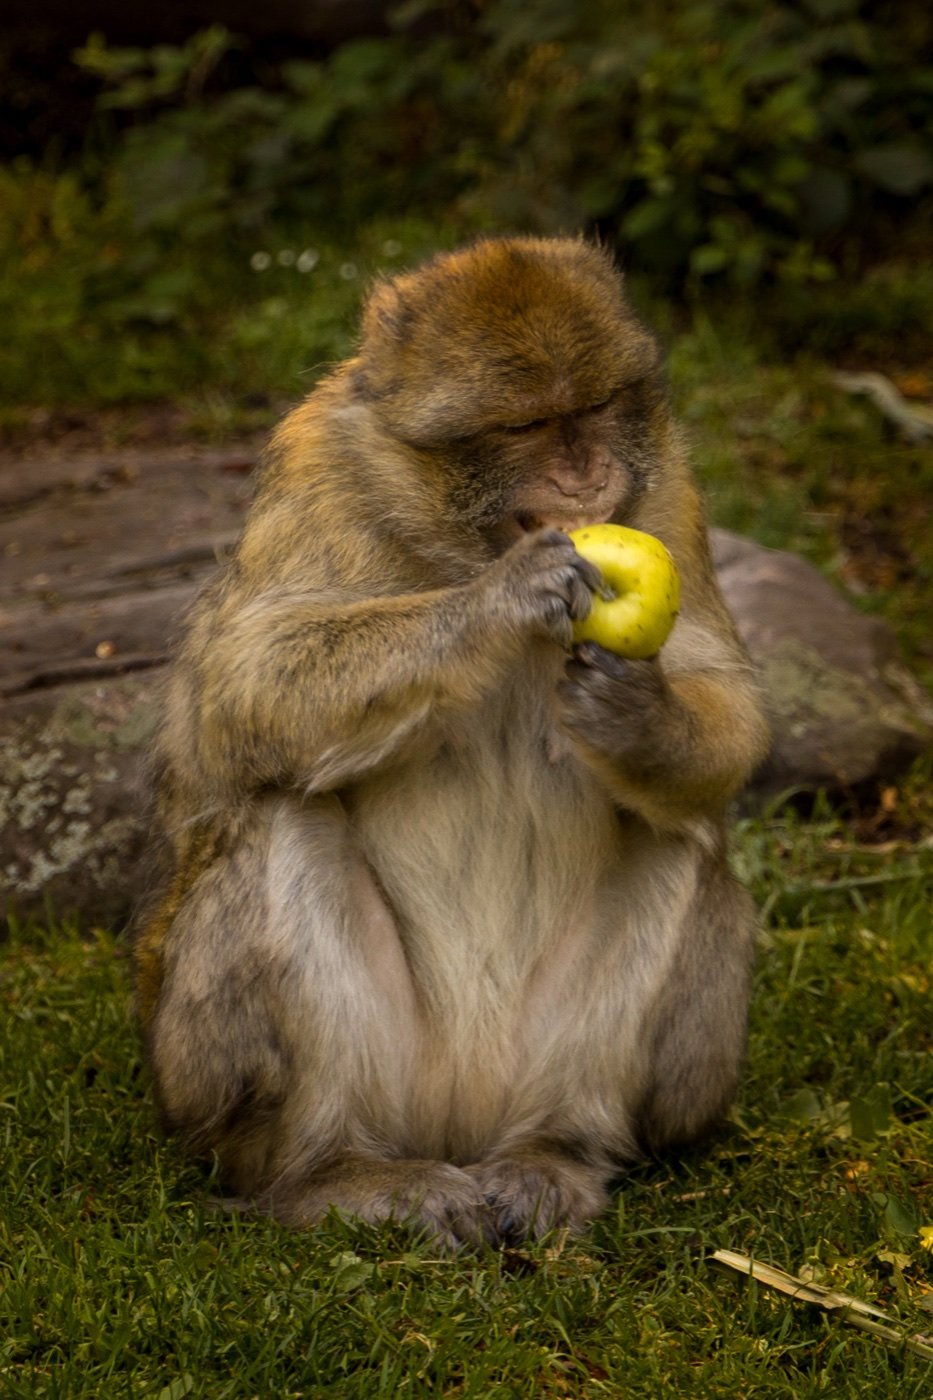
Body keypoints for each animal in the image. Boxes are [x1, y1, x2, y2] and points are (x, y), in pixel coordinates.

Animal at [135, 236, 770, 1248]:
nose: (587, 476)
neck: (458, 541)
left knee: (677, 844)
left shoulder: (669, 485)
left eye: (594, 410)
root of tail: (463, 1118)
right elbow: (243, 685)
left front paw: (638, 713)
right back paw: (333, 1172)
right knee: (281, 819)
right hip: (219, 1084)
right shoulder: (319, 473)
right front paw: (497, 604)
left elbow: (728, 700)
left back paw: (556, 1151)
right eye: (529, 426)